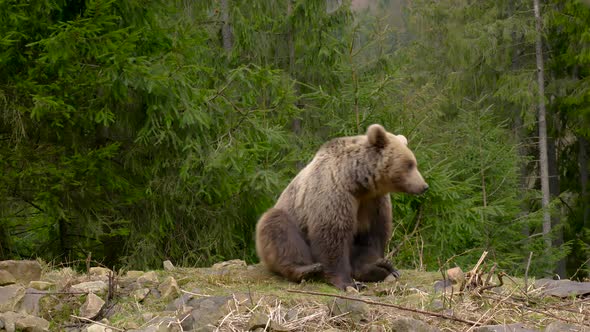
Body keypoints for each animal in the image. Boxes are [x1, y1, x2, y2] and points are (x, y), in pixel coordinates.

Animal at [256, 123, 428, 290]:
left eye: (414, 163)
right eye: (409, 164)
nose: (424, 186)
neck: (357, 182)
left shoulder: (374, 202)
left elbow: (372, 235)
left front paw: (378, 266)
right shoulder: (335, 192)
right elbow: (333, 235)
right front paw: (348, 282)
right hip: (288, 218)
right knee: (277, 227)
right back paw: (305, 269)